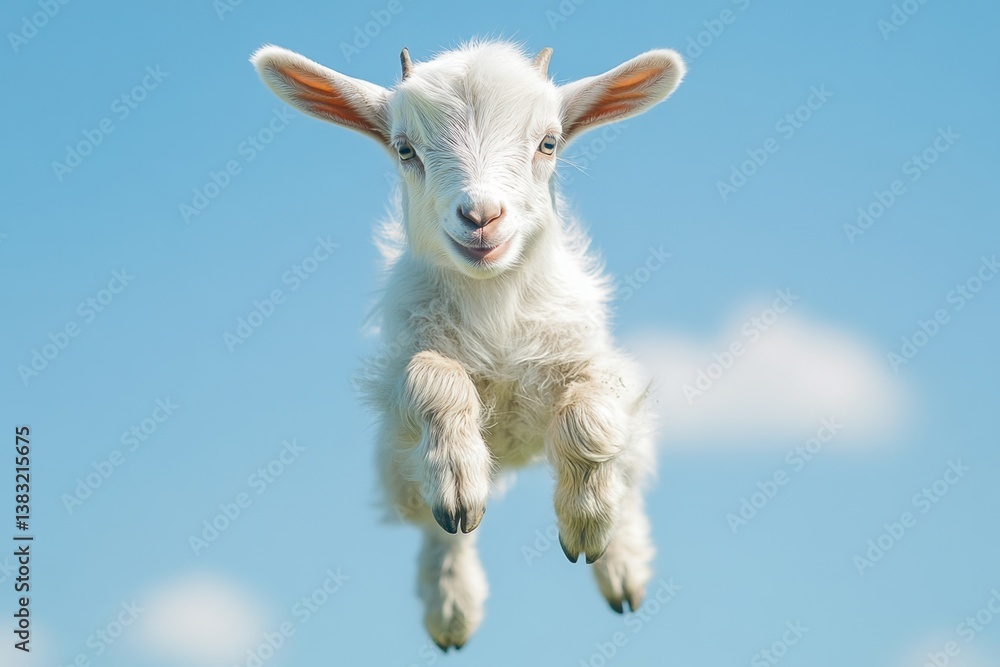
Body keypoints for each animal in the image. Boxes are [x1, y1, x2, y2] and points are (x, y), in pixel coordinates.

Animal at [251, 40, 685, 650]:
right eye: (404, 148)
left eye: (548, 142)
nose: (481, 217)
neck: (494, 311)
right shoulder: (401, 375)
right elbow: (434, 379)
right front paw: (459, 482)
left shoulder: (592, 362)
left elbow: (588, 415)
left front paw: (586, 523)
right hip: (398, 467)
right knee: (440, 531)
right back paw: (452, 604)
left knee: (628, 471)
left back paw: (621, 570)